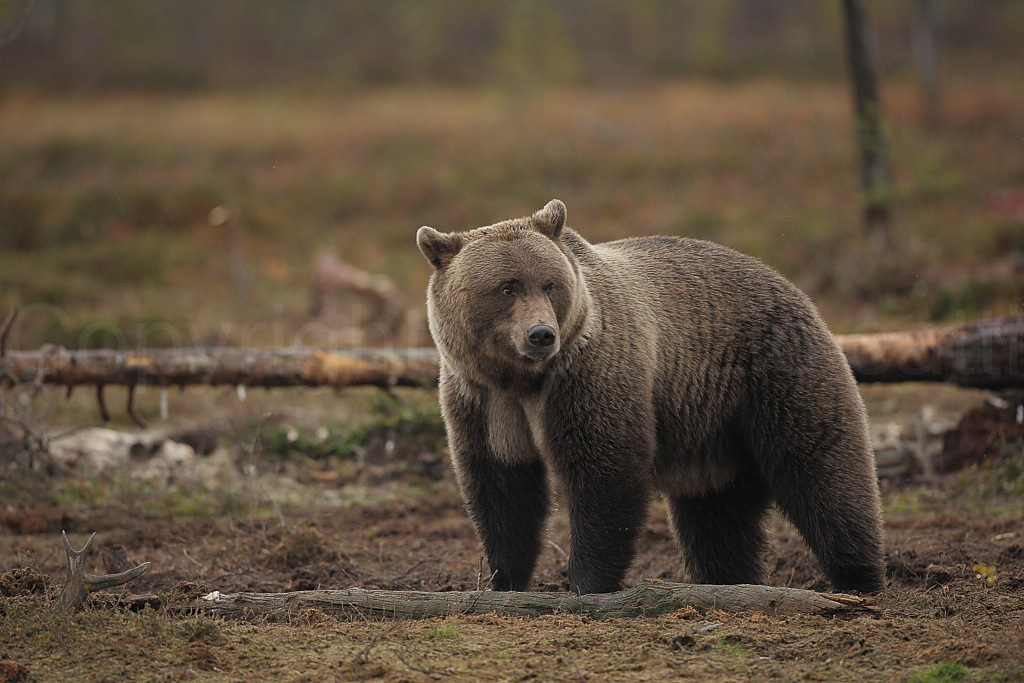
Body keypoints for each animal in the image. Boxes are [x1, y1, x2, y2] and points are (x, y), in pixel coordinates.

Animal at [416, 199, 885, 595]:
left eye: (549, 284)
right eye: (506, 287)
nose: (541, 334)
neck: (523, 380)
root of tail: (792, 286)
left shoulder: (590, 374)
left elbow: (604, 470)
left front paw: (587, 581)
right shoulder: (483, 400)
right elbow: (502, 487)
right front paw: (505, 579)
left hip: (777, 374)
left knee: (823, 471)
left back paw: (859, 579)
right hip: (713, 434)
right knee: (717, 516)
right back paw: (729, 579)